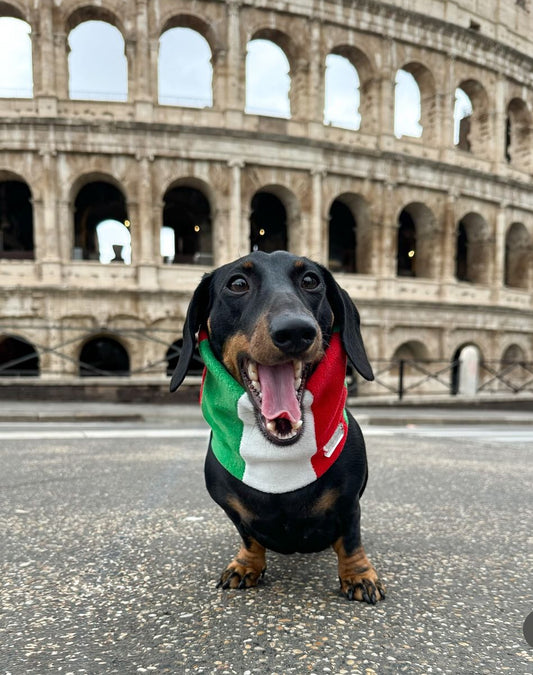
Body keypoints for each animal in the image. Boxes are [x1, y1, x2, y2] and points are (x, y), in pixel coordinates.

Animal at [172, 251, 384, 604]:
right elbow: (248, 537)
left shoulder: (349, 502)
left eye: (311, 280)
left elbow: (351, 539)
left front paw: (359, 575)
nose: (296, 331)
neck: (278, 459)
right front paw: (246, 565)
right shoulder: (234, 512)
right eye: (238, 284)